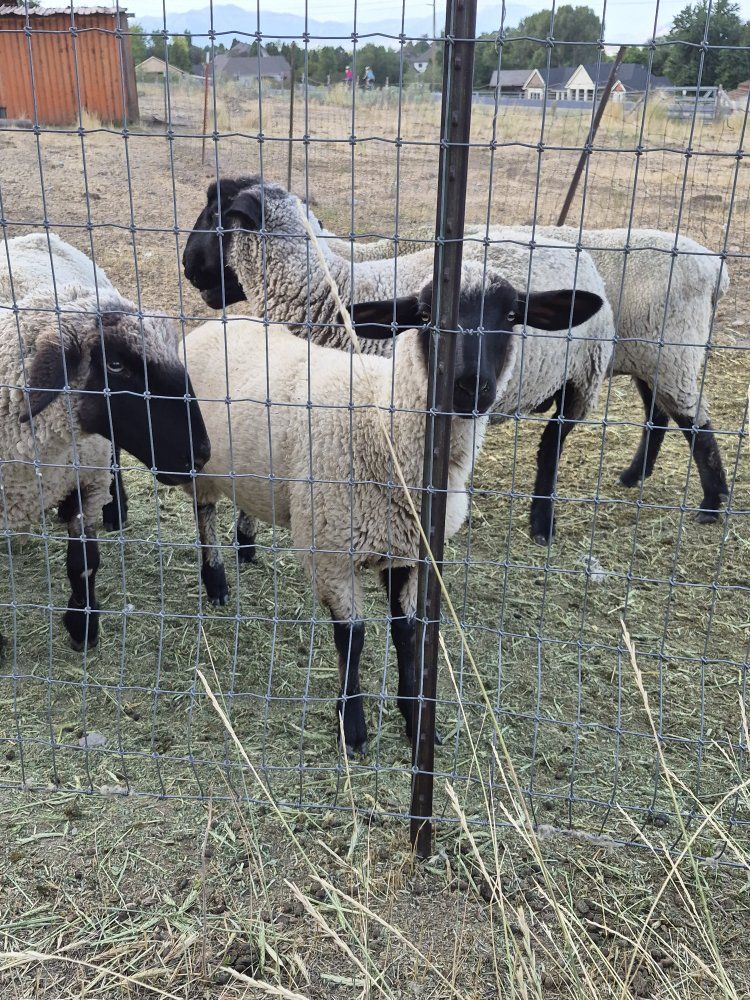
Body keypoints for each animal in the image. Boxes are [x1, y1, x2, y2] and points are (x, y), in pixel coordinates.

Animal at [182, 176, 614, 544]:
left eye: (216, 214)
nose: (186, 266)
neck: (333, 292)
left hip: (583, 378)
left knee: (551, 446)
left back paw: (542, 522)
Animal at [182, 265, 604, 752]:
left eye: (514, 315)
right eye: (424, 316)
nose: (469, 387)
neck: (384, 424)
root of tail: (220, 322)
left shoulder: (409, 552)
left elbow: (407, 633)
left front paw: (416, 720)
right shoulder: (333, 552)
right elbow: (353, 638)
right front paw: (353, 727)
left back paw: (246, 546)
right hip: (198, 460)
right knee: (204, 514)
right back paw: (215, 582)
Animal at [527, 226, 730, 522]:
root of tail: (716, 271)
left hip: (672, 353)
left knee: (695, 424)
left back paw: (712, 503)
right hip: (646, 357)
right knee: (657, 416)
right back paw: (634, 475)